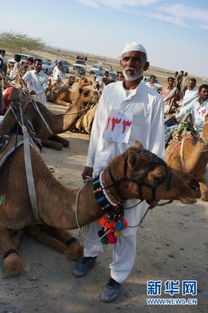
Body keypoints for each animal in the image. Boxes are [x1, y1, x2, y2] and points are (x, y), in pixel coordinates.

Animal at [0, 137, 201, 276]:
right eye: (158, 176)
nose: (195, 185)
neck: (35, 185)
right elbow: (14, 263)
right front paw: (15, 242)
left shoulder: (42, 216)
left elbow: (75, 248)